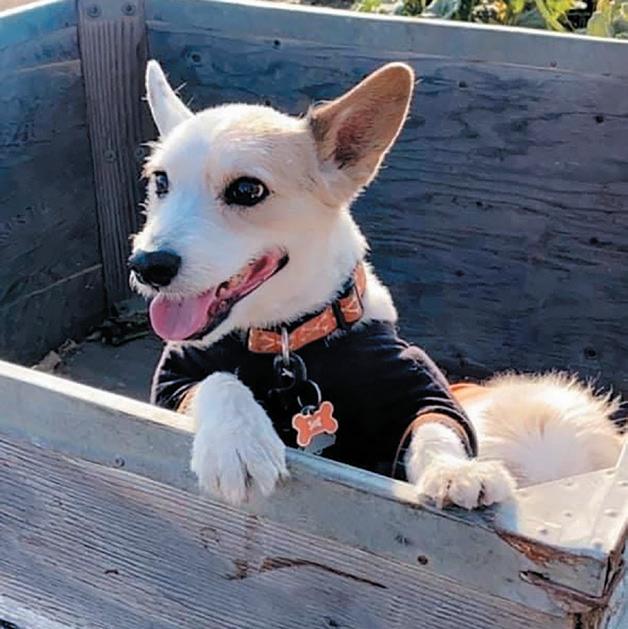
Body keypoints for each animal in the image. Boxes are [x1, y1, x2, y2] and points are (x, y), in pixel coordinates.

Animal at [129, 60, 624, 509]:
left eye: (247, 190)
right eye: (160, 181)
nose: (146, 264)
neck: (285, 339)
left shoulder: (420, 388)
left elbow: (436, 428)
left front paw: (456, 470)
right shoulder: (174, 381)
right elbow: (217, 380)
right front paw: (236, 442)